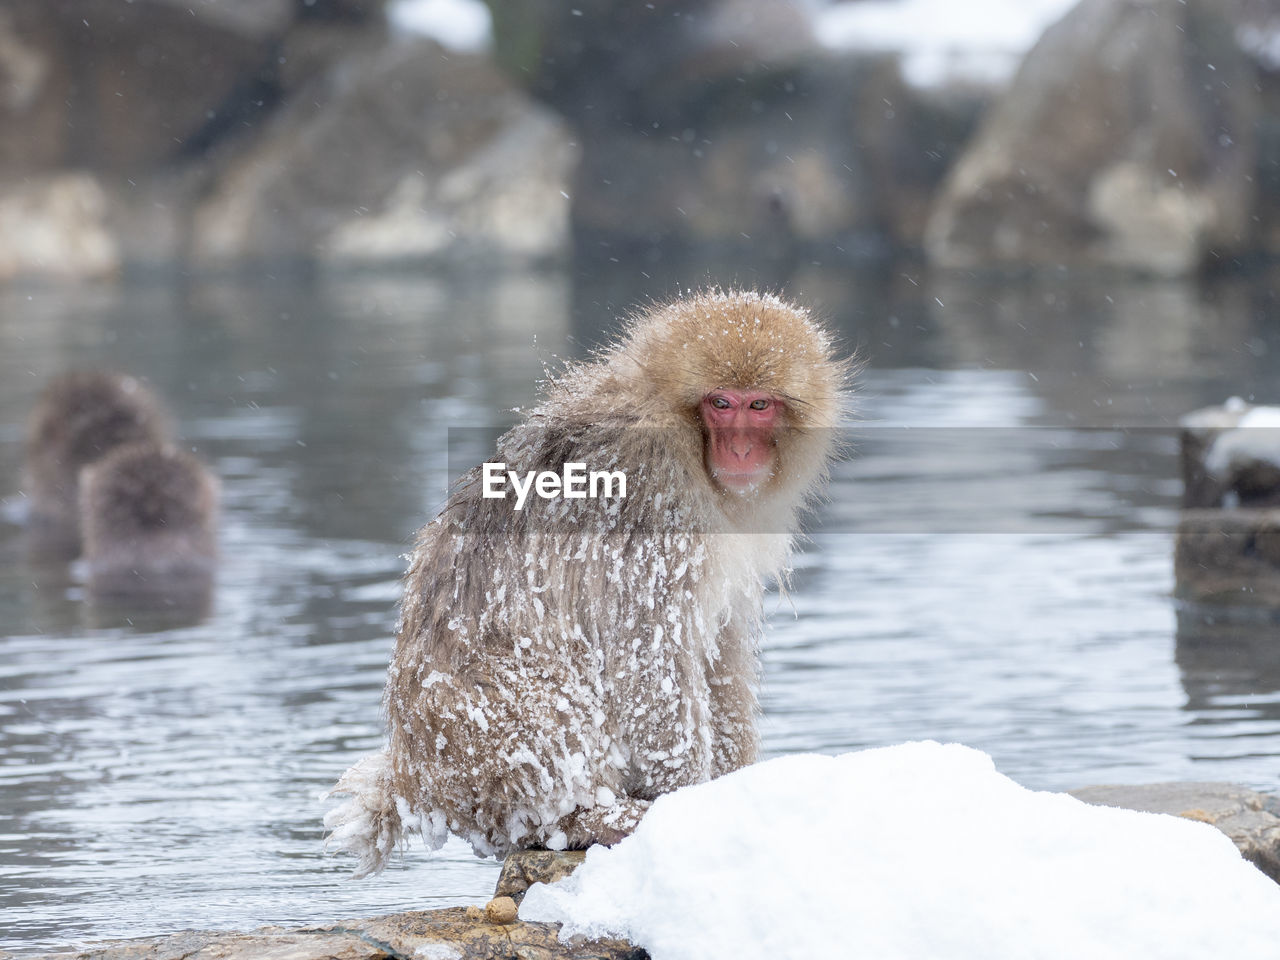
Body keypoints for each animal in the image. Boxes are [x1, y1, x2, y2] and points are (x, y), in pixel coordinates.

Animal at [327, 289, 849, 875]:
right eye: (721, 403)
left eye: (759, 406)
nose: (740, 451)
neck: (681, 439)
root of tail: (415, 780)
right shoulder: (651, 503)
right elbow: (649, 657)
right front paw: (687, 811)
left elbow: (720, 648)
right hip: (482, 754)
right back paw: (583, 820)